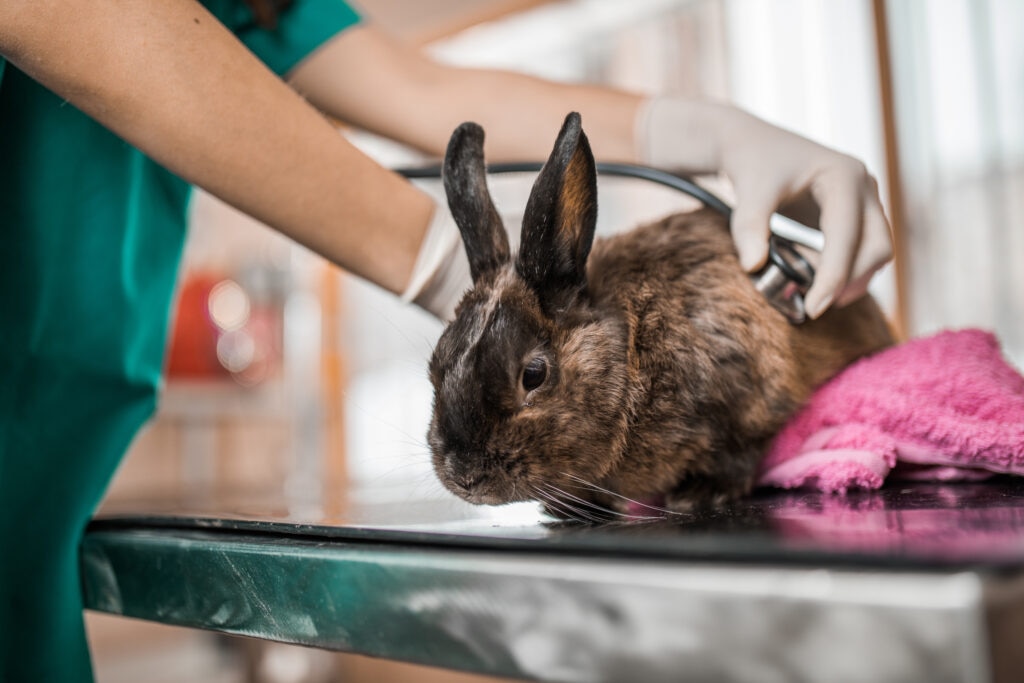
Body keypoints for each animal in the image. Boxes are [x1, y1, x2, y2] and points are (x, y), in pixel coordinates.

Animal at [427, 112, 893, 517]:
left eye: (534, 375)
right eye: (436, 365)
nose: (465, 475)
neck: (632, 352)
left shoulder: (749, 400)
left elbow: (740, 456)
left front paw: (697, 496)